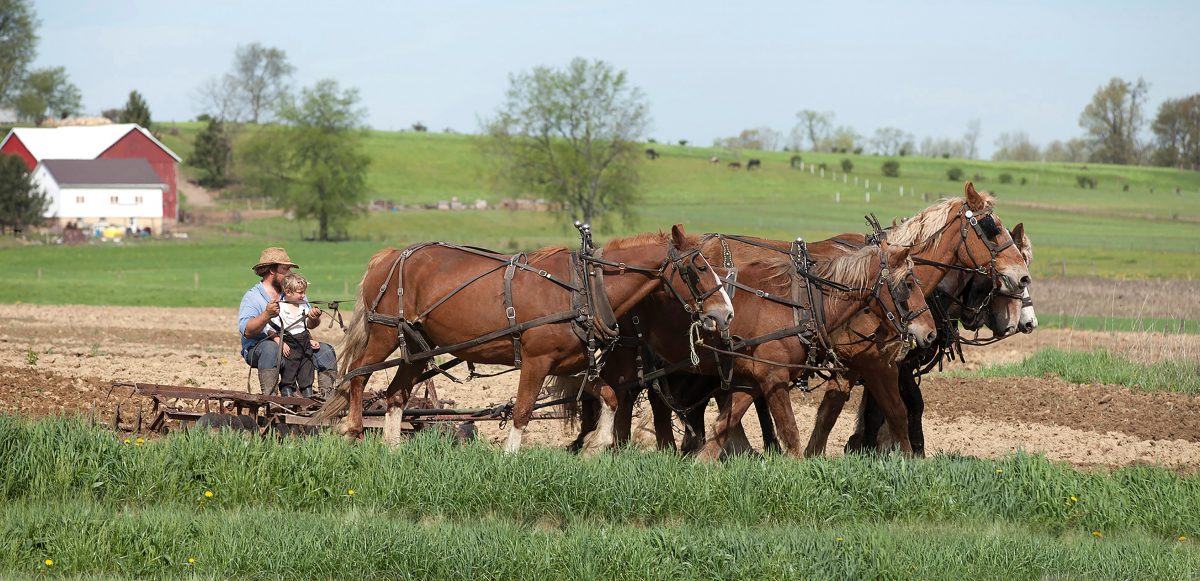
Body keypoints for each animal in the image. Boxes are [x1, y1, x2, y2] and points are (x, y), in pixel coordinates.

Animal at [314, 224, 729, 451]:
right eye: (697, 268)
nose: (725, 313)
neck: (586, 287)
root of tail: (389, 256)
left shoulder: (574, 364)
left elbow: (610, 397)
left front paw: (596, 446)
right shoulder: (536, 360)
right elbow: (523, 409)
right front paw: (511, 457)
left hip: (417, 347)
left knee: (396, 395)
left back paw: (393, 449)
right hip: (385, 335)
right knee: (357, 376)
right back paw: (353, 430)